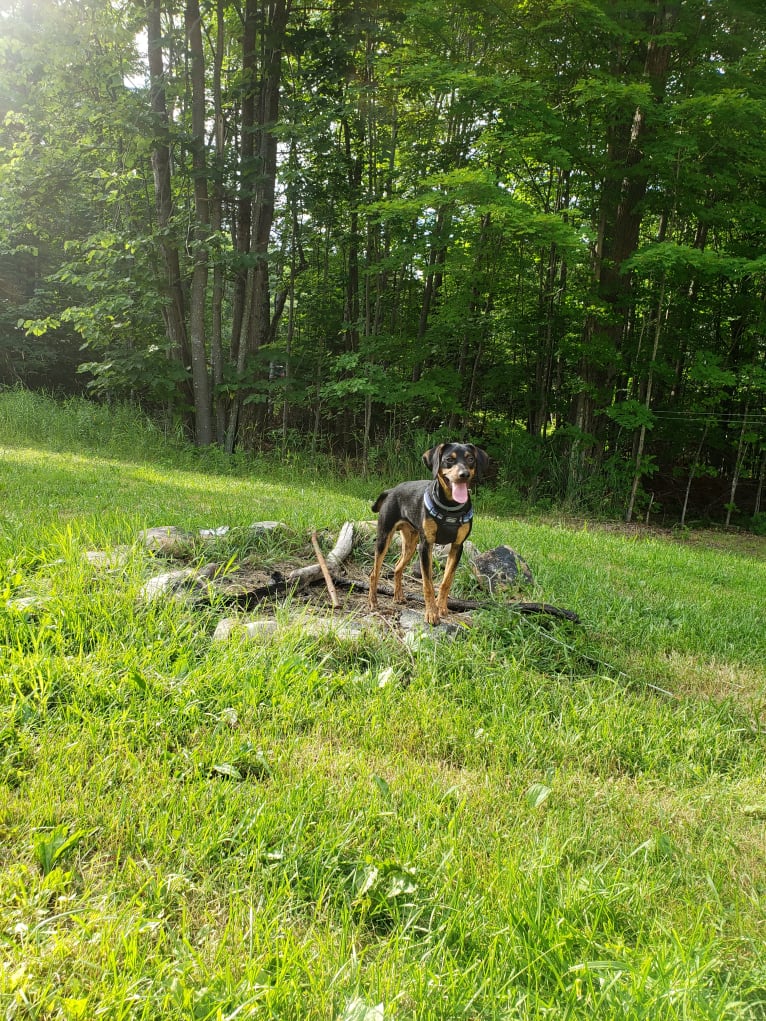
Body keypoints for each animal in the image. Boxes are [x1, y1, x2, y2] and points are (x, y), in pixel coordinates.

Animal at [367, 443, 488, 624]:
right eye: (449, 459)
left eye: (470, 459)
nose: (464, 474)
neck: (450, 506)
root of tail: (391, 490)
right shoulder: (426, 546)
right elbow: (428, 584)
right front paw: (431, 613)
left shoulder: (457, 546)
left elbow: (446, 581)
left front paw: (442, 607)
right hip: (384, 538)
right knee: (374, 573)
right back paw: (373, 602)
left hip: (411, 545)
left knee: (397, 567)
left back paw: (398, 596)